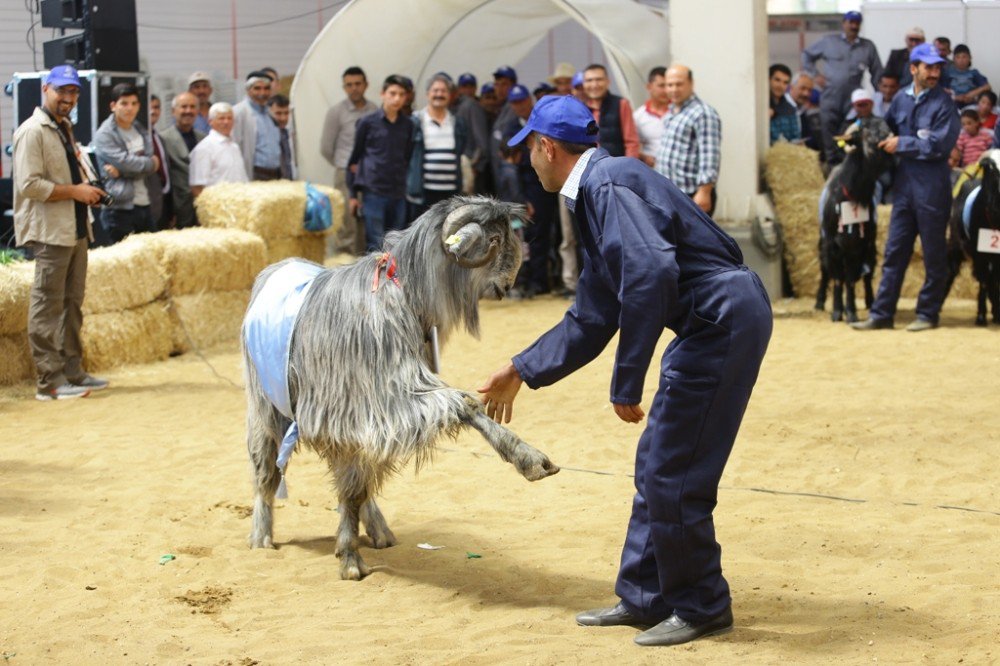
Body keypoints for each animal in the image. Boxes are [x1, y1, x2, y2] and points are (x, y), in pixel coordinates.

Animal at [239, 196, 560, 576]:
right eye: (494, 240)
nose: (509, 285)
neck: (402, 290)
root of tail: (275, 267)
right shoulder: (375, 402)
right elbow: (462, 404)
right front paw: (349, 558)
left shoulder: (375, 411)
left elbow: (356, 483)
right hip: (265, 406)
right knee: (265, 471)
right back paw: (261, 536)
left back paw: (378, 529)